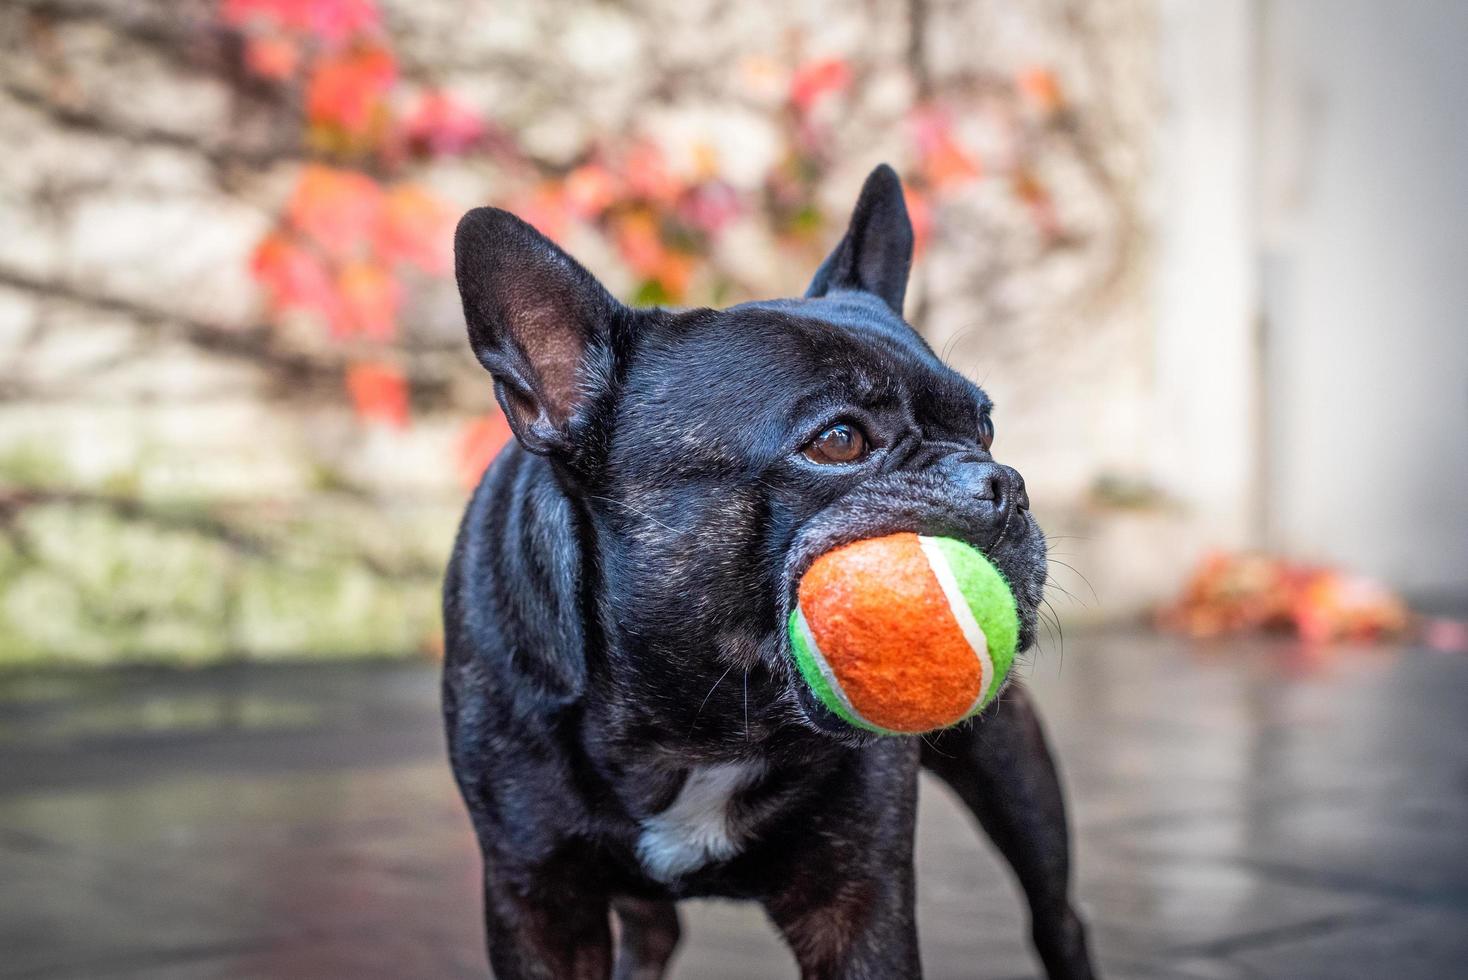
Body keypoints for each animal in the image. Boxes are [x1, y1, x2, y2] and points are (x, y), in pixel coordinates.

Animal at [440, 164, 1098, 974]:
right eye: (840, 439)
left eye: (986, 428)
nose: (1002, 482)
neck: (698, 722)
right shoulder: (536, 898)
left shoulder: (859, 903)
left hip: (1013, 769)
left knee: (1057, 918)